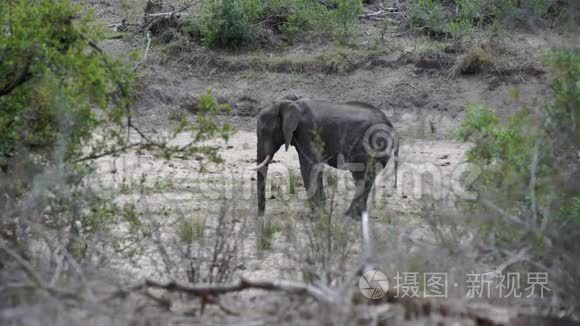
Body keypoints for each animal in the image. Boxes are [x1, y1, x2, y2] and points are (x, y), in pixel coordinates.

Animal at [249, 97, 398, 219]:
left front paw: (314, 216)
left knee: (362, 176)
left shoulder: (308, 131)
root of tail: (391, 126)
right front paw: (322, 213)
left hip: (372, 145)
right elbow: (316, 167)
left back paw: (349, 217)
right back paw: (357, 216)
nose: (261, 216)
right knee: (364, 178)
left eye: (265, 131)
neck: (291, 103)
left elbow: (309, 166)